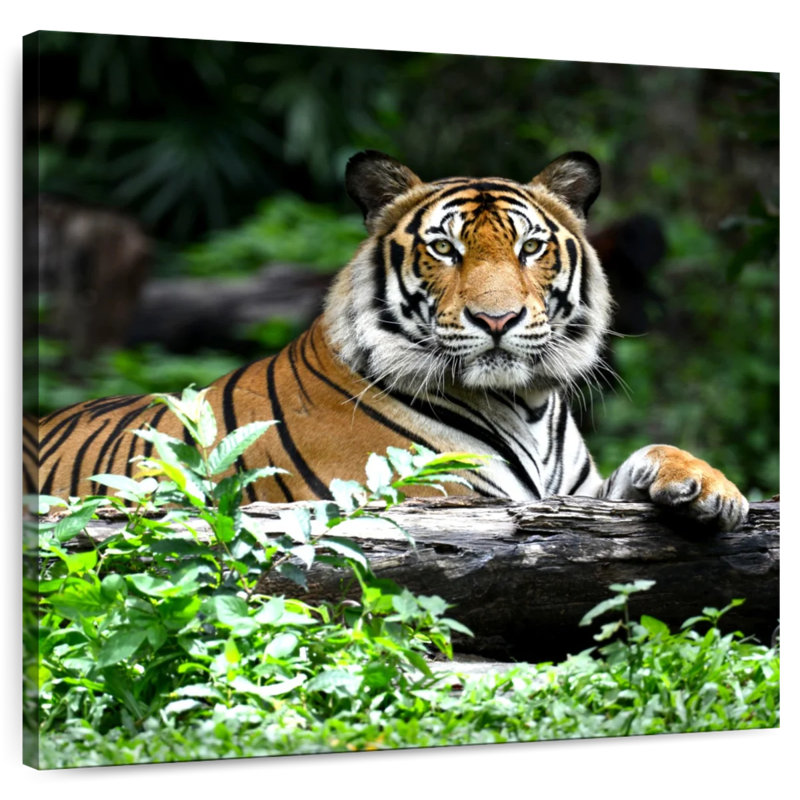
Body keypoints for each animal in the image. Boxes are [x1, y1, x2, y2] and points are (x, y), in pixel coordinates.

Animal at [28, 149, 748, 531]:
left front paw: (709, 487)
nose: (497, 320)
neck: (527, 404)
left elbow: (650, 455)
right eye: (444, 249)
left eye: (530, 248)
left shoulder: (575, 495)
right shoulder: (433, 499)